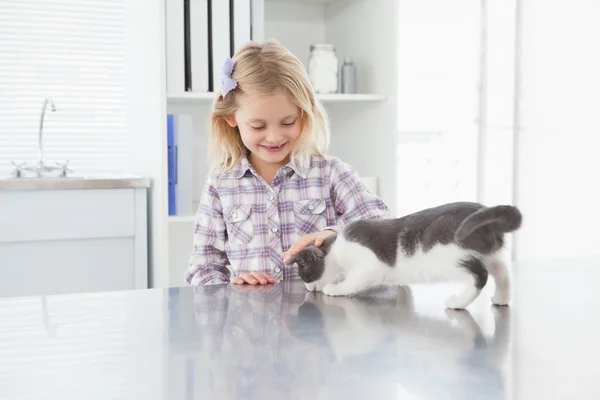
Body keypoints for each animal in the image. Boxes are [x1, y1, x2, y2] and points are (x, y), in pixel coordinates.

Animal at [286, 203, 520, 310]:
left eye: (304, 273)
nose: (308, 287)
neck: (336, 249)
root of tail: (481, 209)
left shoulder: (371, 266)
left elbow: (352, 281)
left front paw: (334, 288)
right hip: (491, 254)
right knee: (503, 273)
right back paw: (501, 299)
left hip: (448, 258)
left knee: (479, 275)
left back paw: (457, 302)